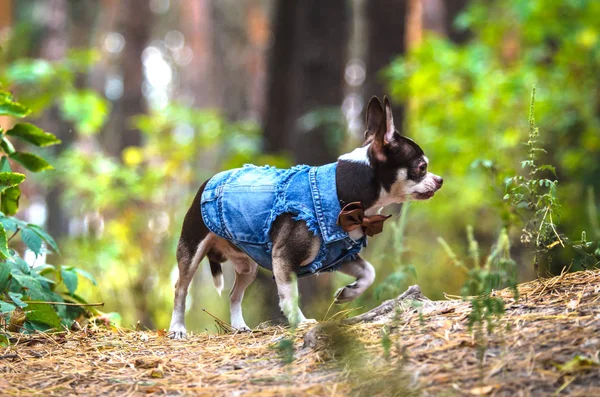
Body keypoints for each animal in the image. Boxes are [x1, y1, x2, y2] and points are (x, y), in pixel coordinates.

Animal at [169, 96, 440, 338]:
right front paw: (300, 322)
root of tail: (210, 180)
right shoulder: (284, 259)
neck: (343, 192)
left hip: (247, 267)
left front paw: (349, 293)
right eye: (421, 167)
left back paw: (239, 326)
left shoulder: (339, 256)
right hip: (191, 251)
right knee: (181, 289)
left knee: (234, 294)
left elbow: (369, 272)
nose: (440, 180)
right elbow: (290, 295)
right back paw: (178, 328)